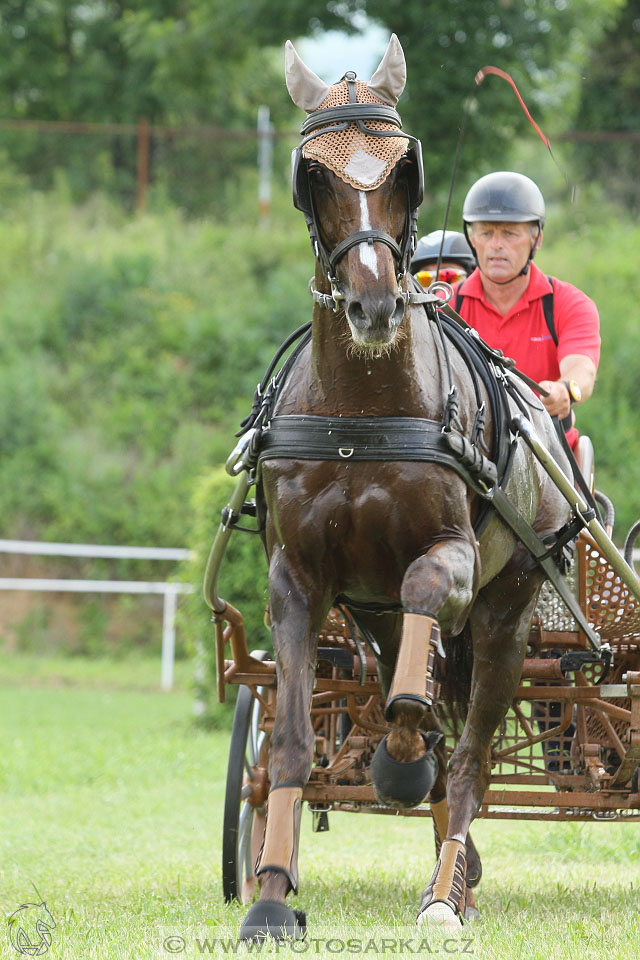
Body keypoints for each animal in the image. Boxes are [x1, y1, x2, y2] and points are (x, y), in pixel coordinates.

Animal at [239, 35, 568, 936]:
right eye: (312, 173)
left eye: (402, 169)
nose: (376, 304)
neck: (363, 409)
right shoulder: (298, 579)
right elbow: (291, 740)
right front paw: (270, 895)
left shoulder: (450, 557)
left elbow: (419, 706)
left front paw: (397, 764)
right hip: (377, 615)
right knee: (411, 685)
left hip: (507, 617)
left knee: (471, 754)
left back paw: (445, 889)